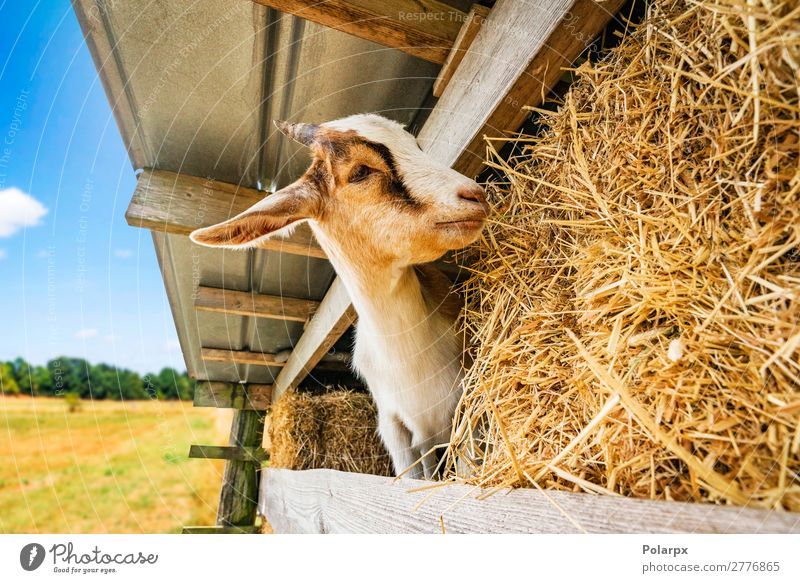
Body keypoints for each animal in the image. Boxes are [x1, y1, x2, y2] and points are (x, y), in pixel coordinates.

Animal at [192, 114, 488, 480]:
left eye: (415, 145)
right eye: (360, 171)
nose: (474, 195)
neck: (411, 360)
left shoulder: (464, 411)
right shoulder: (398, 432)